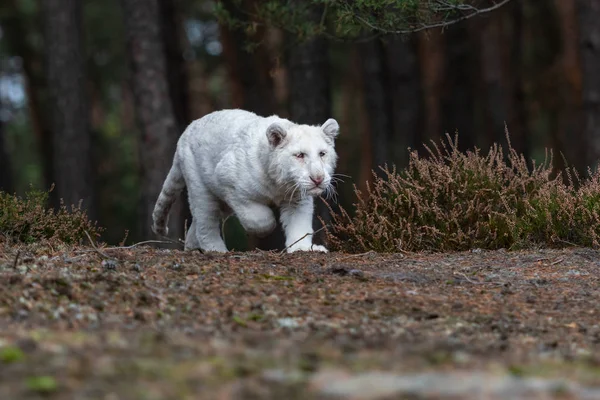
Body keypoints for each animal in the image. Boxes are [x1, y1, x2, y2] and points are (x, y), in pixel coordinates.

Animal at [150, 109, 340, 253]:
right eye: (300, 155)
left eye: (322, 154)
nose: (318, 178)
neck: (279, 183)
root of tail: (187, 130)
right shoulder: (228, 182)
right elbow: (259, 219)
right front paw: (266, 229)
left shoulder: (297, 199)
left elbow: (299, 224)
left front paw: (302, 249)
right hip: (200, 189)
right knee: (206, 222)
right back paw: (216, 250)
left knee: (197, 224)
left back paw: (192, 248)